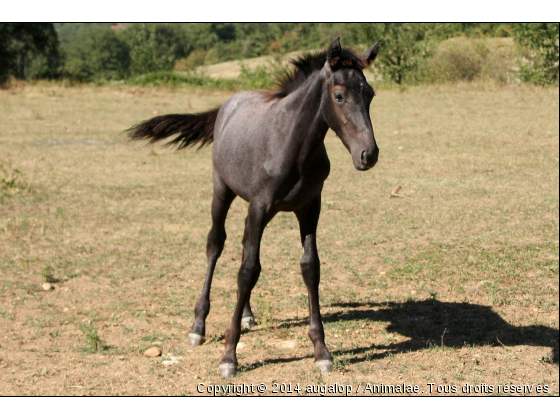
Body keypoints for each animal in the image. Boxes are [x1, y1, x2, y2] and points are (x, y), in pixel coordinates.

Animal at [127, 37, 380, 376]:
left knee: (243, 244)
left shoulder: (310, 207)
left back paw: (246, 314)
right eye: (339, 95)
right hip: (222, 191)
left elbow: (309, 267)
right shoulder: (260, 206)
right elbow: (247, 271)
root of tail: (230, 103)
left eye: (370, 94)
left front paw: (321, 351)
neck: (292, 145)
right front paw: (228, 357)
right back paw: (198, 326)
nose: (369, 154)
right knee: (216, 244)